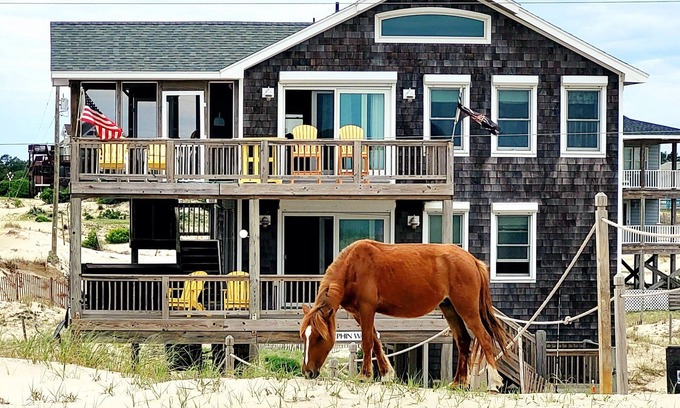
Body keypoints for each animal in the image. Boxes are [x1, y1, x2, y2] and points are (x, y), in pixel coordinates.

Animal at [300, 239, 508, 391]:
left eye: (319, 337)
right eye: (304, 337)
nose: (307, 372)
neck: (353, 266)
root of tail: (473, 261)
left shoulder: (367, 309)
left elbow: (367, 341)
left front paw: (365, 375)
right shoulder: (358, 313)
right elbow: (376, 341)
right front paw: (386, 374)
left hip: (468, 311)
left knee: (485, 339)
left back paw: (493, 383)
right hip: (450, 308)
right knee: (463, 341)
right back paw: (458, 382)